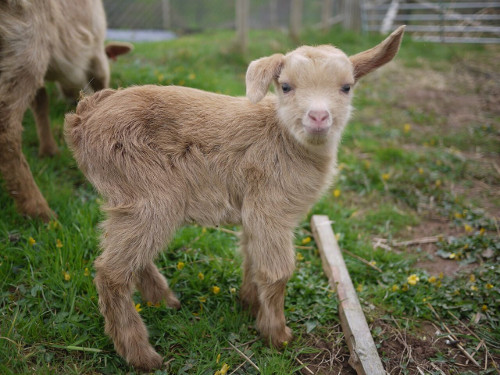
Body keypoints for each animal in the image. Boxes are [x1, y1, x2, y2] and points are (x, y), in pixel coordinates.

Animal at [0, 0, 131, 222]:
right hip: (27, 44)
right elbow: (102, 83)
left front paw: (49, 150)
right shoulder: (96, 53)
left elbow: (41, 102)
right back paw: (39, 211)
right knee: (6, 130)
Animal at [64, 25, 404, 370]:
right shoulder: (271, 209)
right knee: (111, 272)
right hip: (149, 195)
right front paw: (277, 335)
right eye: (286, 86)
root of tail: (85, 116)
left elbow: (252, 256)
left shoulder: (254, 209)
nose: (319, 116)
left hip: (130, 200)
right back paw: (142, 355)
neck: (283, 137)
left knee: (130, 256)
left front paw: (249, 303)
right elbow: (277, 273)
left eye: (346, 87)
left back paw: (164, 301)